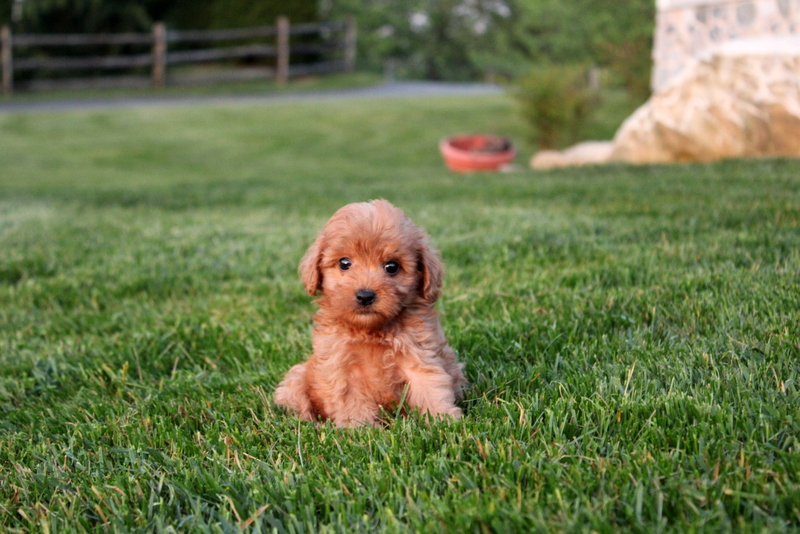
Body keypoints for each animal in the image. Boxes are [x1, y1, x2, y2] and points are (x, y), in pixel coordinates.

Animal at [274, 199, 466, 430]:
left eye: (392, 266)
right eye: (344, 263)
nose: (365, 296)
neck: (371, 331)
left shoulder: (420, 355)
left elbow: (431, 387)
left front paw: (442, 419)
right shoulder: (341, 367)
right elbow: (351, 401)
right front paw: (360, 430)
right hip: (295, 380)